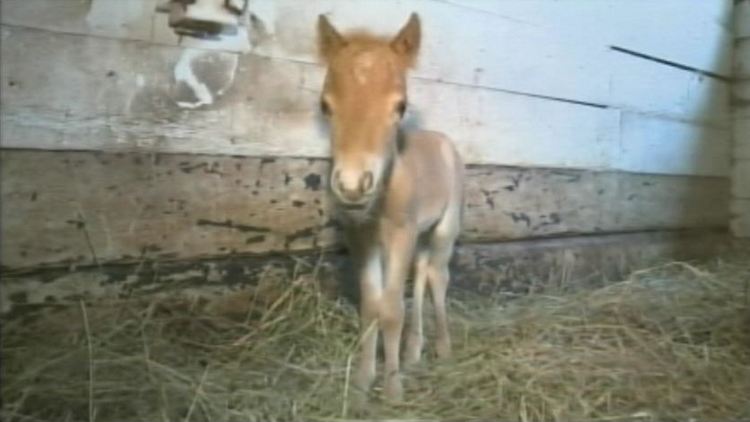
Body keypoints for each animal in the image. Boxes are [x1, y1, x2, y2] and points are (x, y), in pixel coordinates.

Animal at [318, 13, 464, 400]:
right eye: (325, 105)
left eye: (401, 106)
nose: (353, 186)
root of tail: (443, 140)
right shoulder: (362, 239)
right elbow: (372, 307)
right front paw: (362, 384)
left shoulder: (401, 235)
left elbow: (392, 309)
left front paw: (393, 389)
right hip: (421, 235)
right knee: (423, 273)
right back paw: (414, 352)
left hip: (444, 227)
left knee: (438, 276)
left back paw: (444, 349)